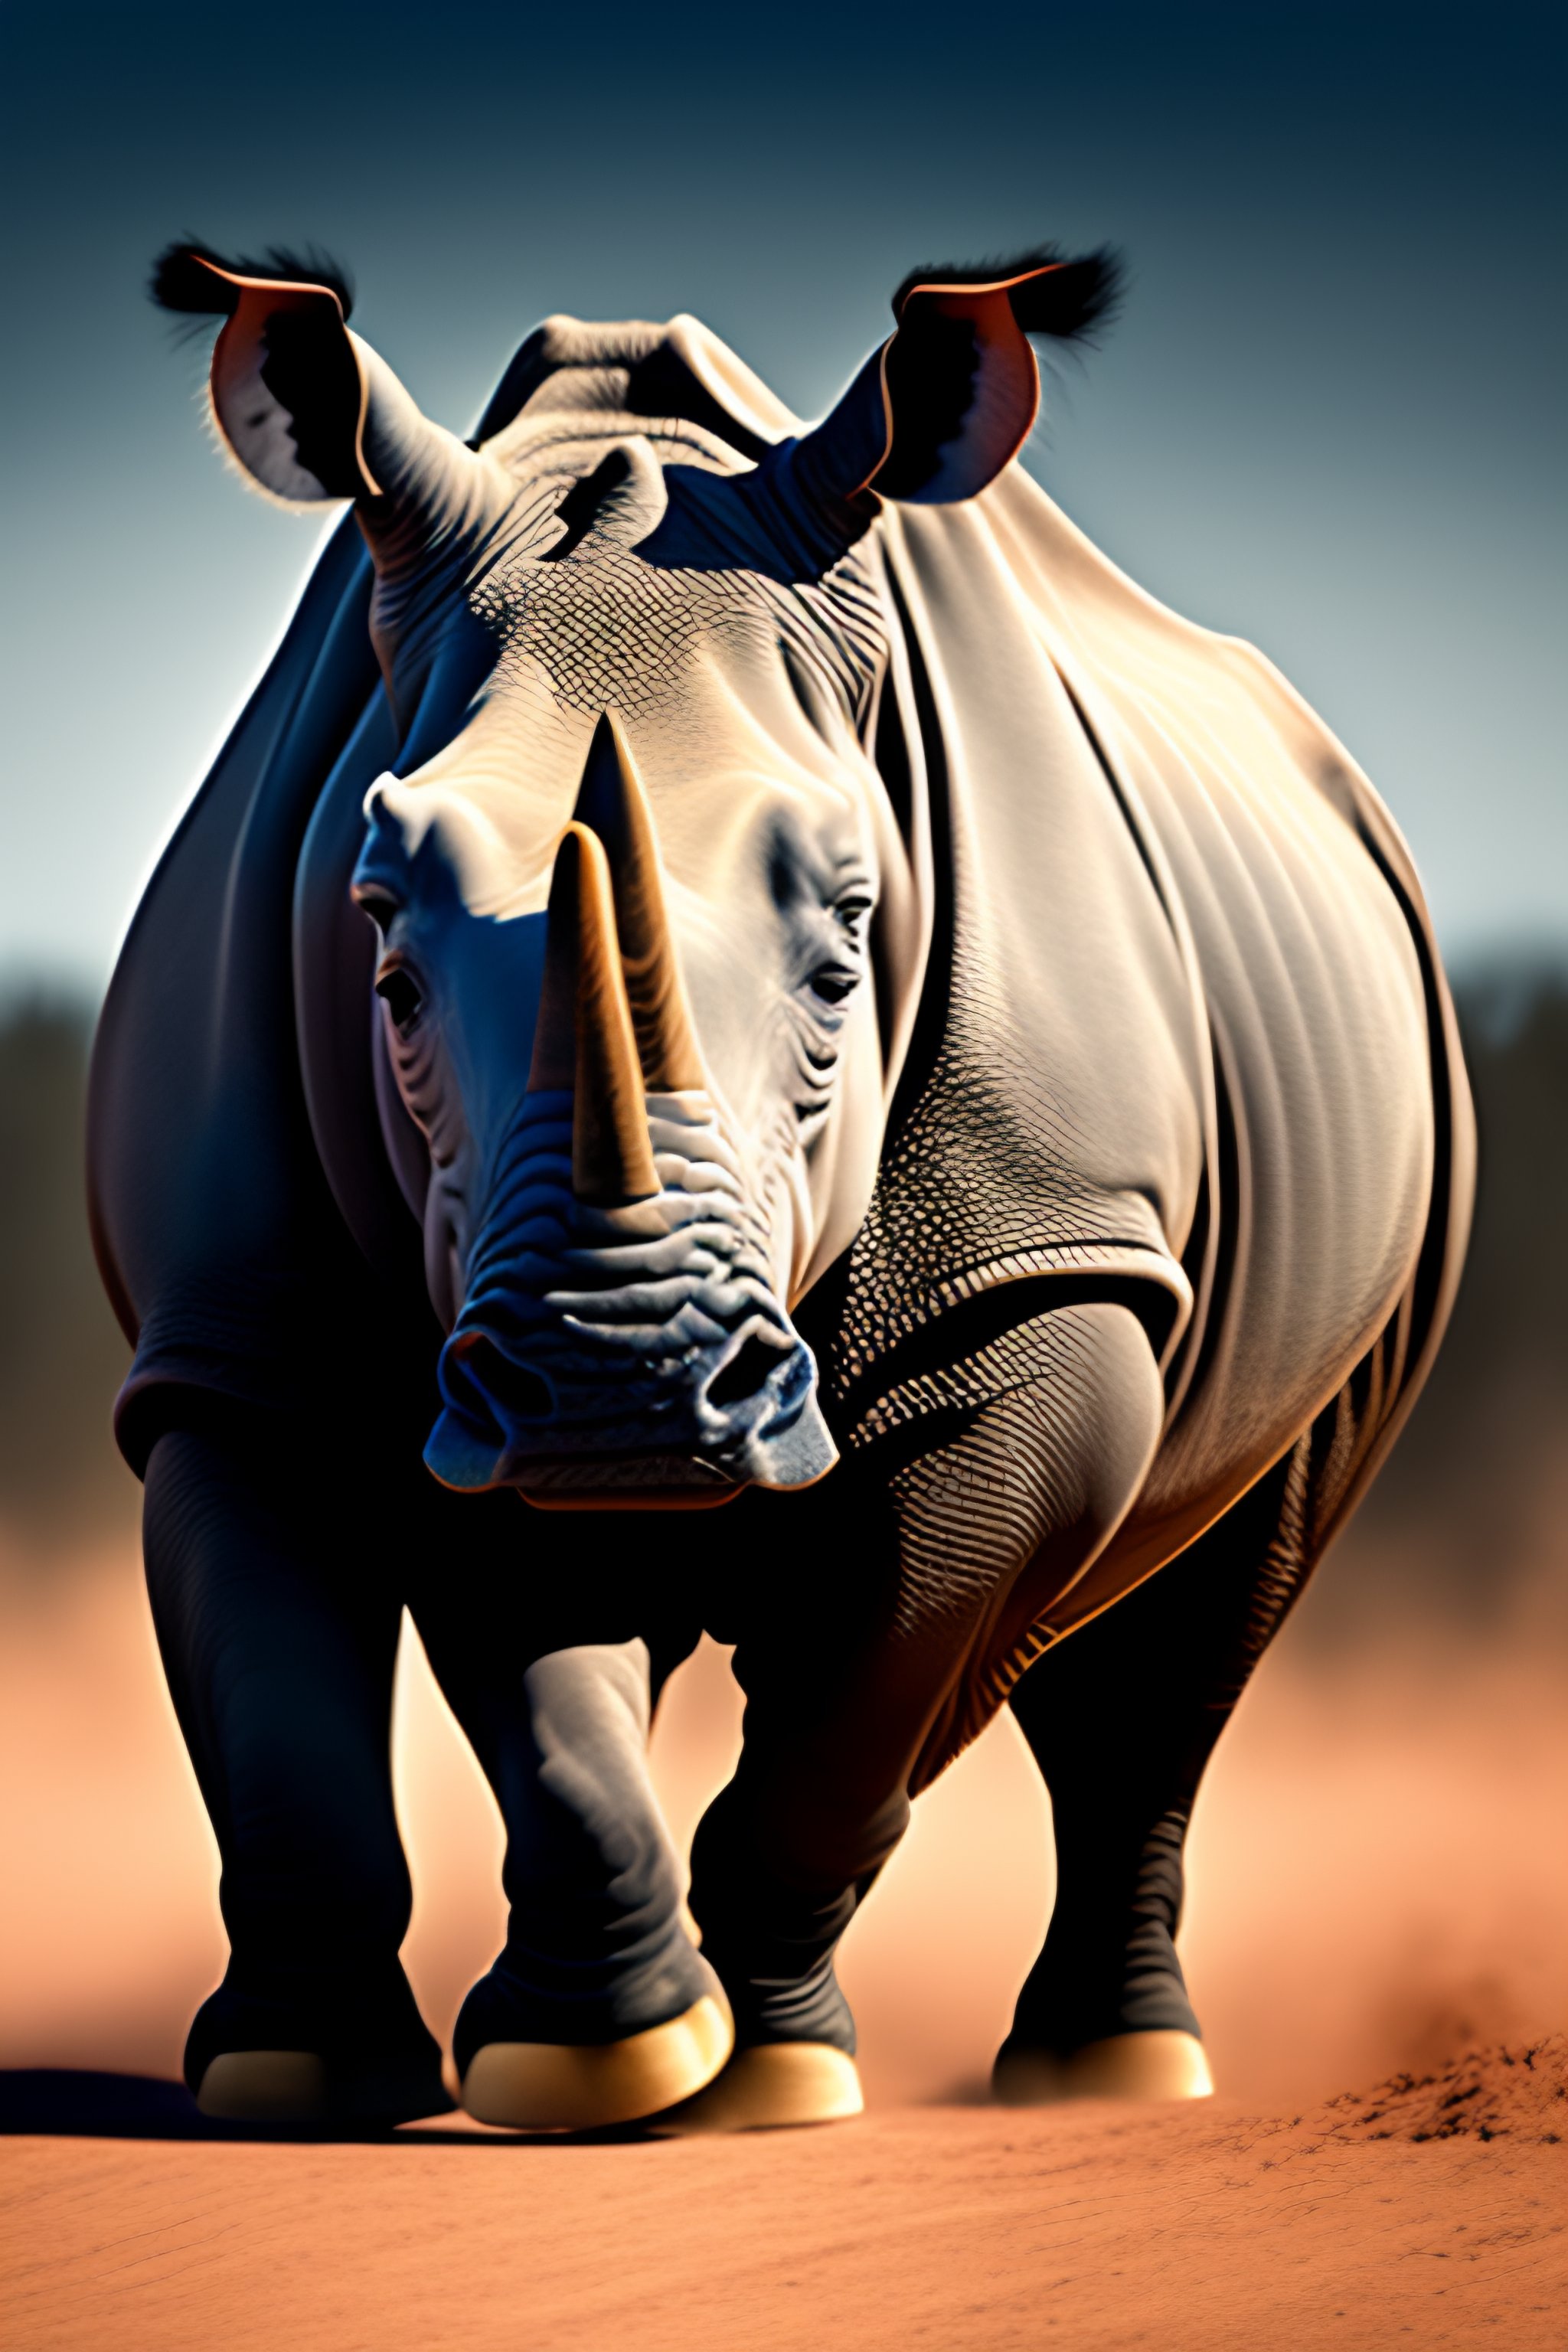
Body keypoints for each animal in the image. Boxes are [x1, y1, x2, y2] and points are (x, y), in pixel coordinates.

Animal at [88, 238, 1472, 2130]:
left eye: (847, 949)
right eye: (380, 950)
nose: (622, 1382)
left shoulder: (1043, 1263)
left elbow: (859, 1704)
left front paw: (762, 2080)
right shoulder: (270, 1338)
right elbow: (371, 1696)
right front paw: (446, 2071)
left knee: (1192, 1630)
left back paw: (1109, 2074)